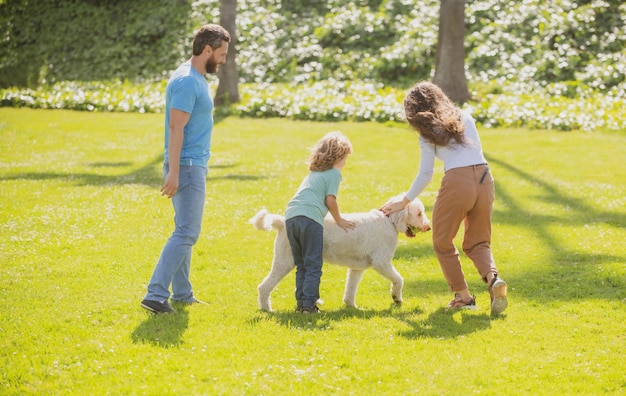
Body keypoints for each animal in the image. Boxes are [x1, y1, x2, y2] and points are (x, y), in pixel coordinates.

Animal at [249, 196, 428, 310]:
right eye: (419, 213)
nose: (428, 227)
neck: (389, 220)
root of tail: (282, 222)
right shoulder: (381, 262)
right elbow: (398, 280)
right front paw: (397, 298)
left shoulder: (357, 268)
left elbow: (351, 288)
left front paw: (351, 305)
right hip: (284, 262)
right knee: (263, 287)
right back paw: (266, 308)